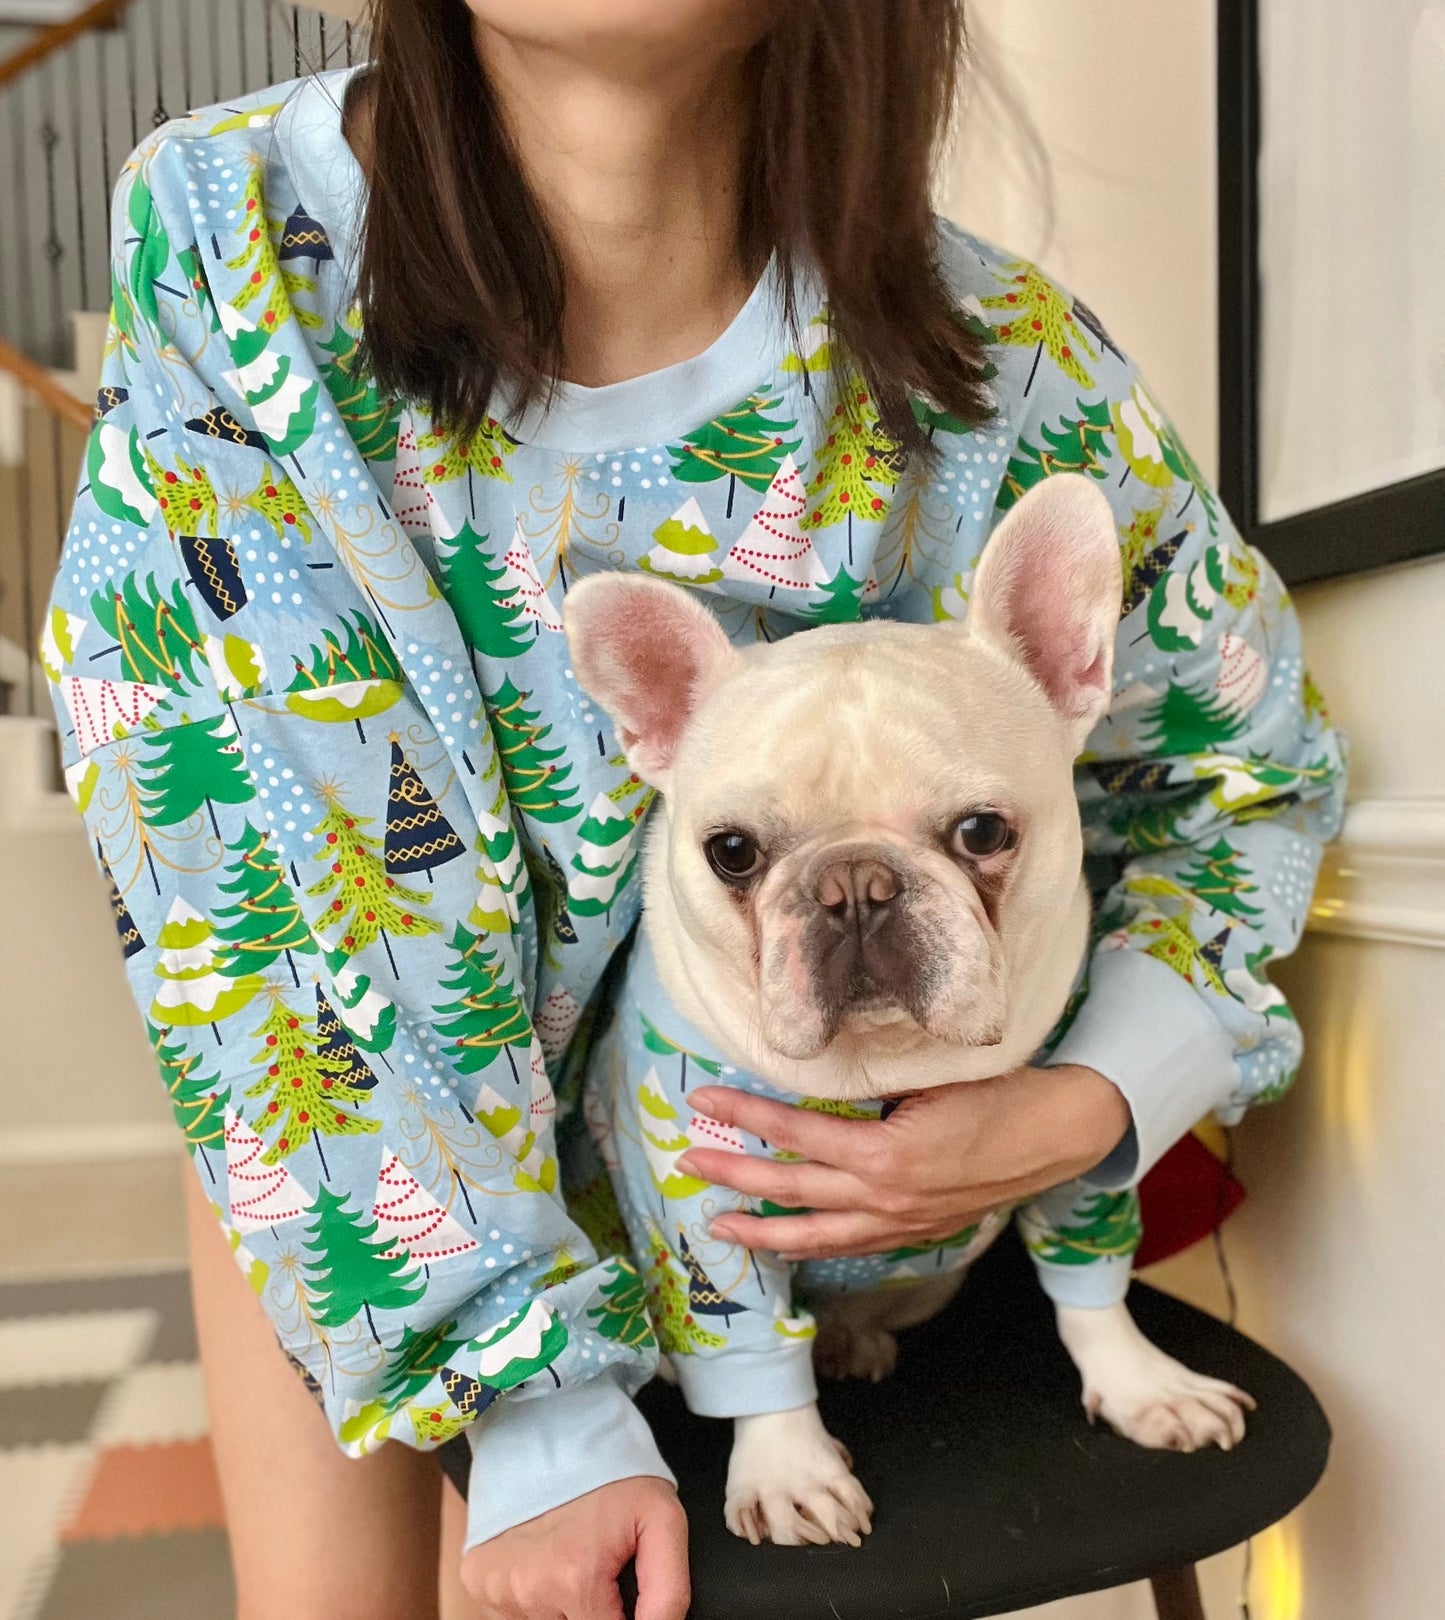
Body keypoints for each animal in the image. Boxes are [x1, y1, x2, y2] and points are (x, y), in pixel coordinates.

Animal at [560, 473, 1250, 1548]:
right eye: (731, 853)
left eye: (983, 832)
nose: (853, 884)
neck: (881, 1066)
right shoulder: (694, 1204)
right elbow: (745, 1343)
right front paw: (788, 1467)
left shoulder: (1079, 1142)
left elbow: (1091, 1284)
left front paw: (1143, 1384)